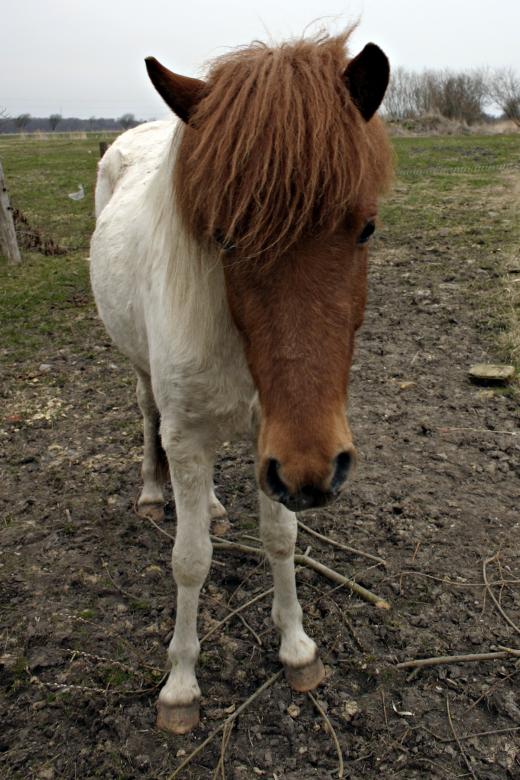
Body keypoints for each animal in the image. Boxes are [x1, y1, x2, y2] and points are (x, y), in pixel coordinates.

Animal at [90, 30, 393, 734]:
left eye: (365, 227)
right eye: (224, 239)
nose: (316, 473)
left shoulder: (273, 440)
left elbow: (281, 537)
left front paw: (297, 648)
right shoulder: (193, 437)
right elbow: (189, 560)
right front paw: (179, 685)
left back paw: (214, 506)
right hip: (145, 379)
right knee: (147, 419)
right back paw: (154, 493)